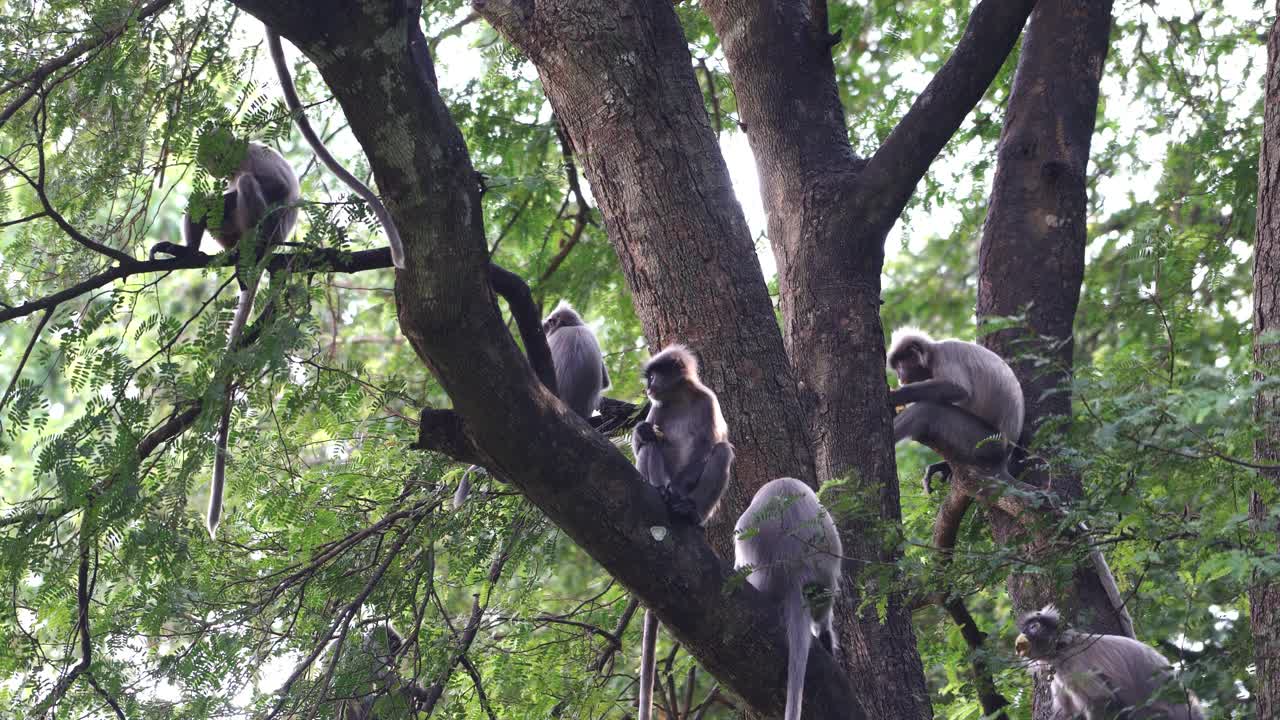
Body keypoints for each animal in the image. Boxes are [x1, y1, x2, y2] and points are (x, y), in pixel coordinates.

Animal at [634, 340, 737, 717]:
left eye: (654, 375)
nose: (648, 385)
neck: (678, 399)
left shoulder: (706, 400)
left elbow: (707, 444)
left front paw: (680, 497)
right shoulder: (657, 408)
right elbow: (644, 437)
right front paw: (641, 435)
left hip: (706, 504)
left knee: (722, 450)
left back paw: (687, 511)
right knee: (651, 444)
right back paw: (662, 492)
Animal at [1013, 604, 1203, 717]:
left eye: (1034, 627)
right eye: (1026, 628)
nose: (1023, 634)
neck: (1062, 648)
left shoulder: (1073, 664)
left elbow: (1103, 700)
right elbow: (1066, 713)